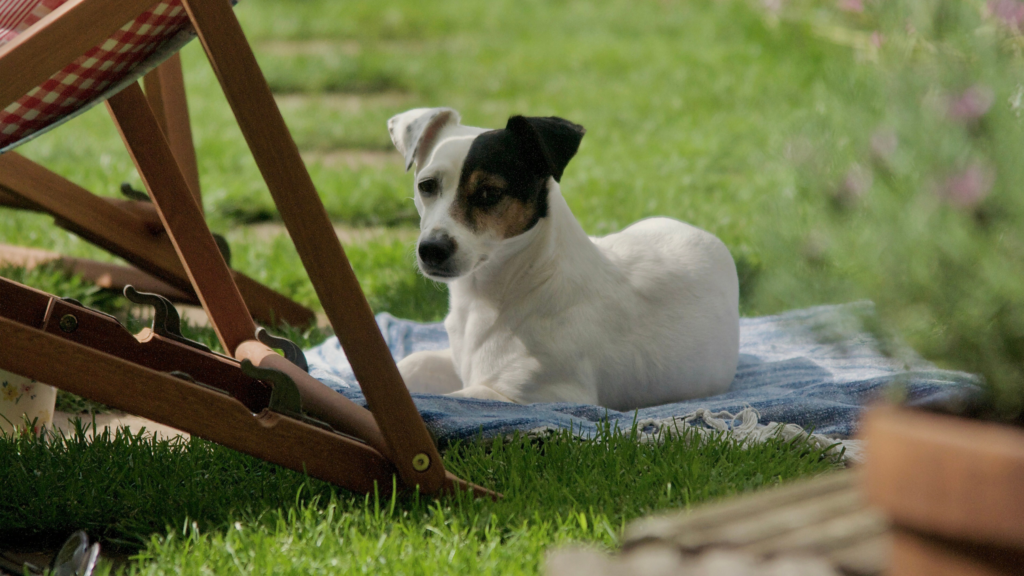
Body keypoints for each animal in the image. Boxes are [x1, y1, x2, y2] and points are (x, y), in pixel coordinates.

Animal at [389, 107, 737, 407]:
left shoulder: (542, 396)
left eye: (490, 193)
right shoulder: (456, 361)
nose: (431, 249)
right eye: (426, 186)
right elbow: (413, 364)